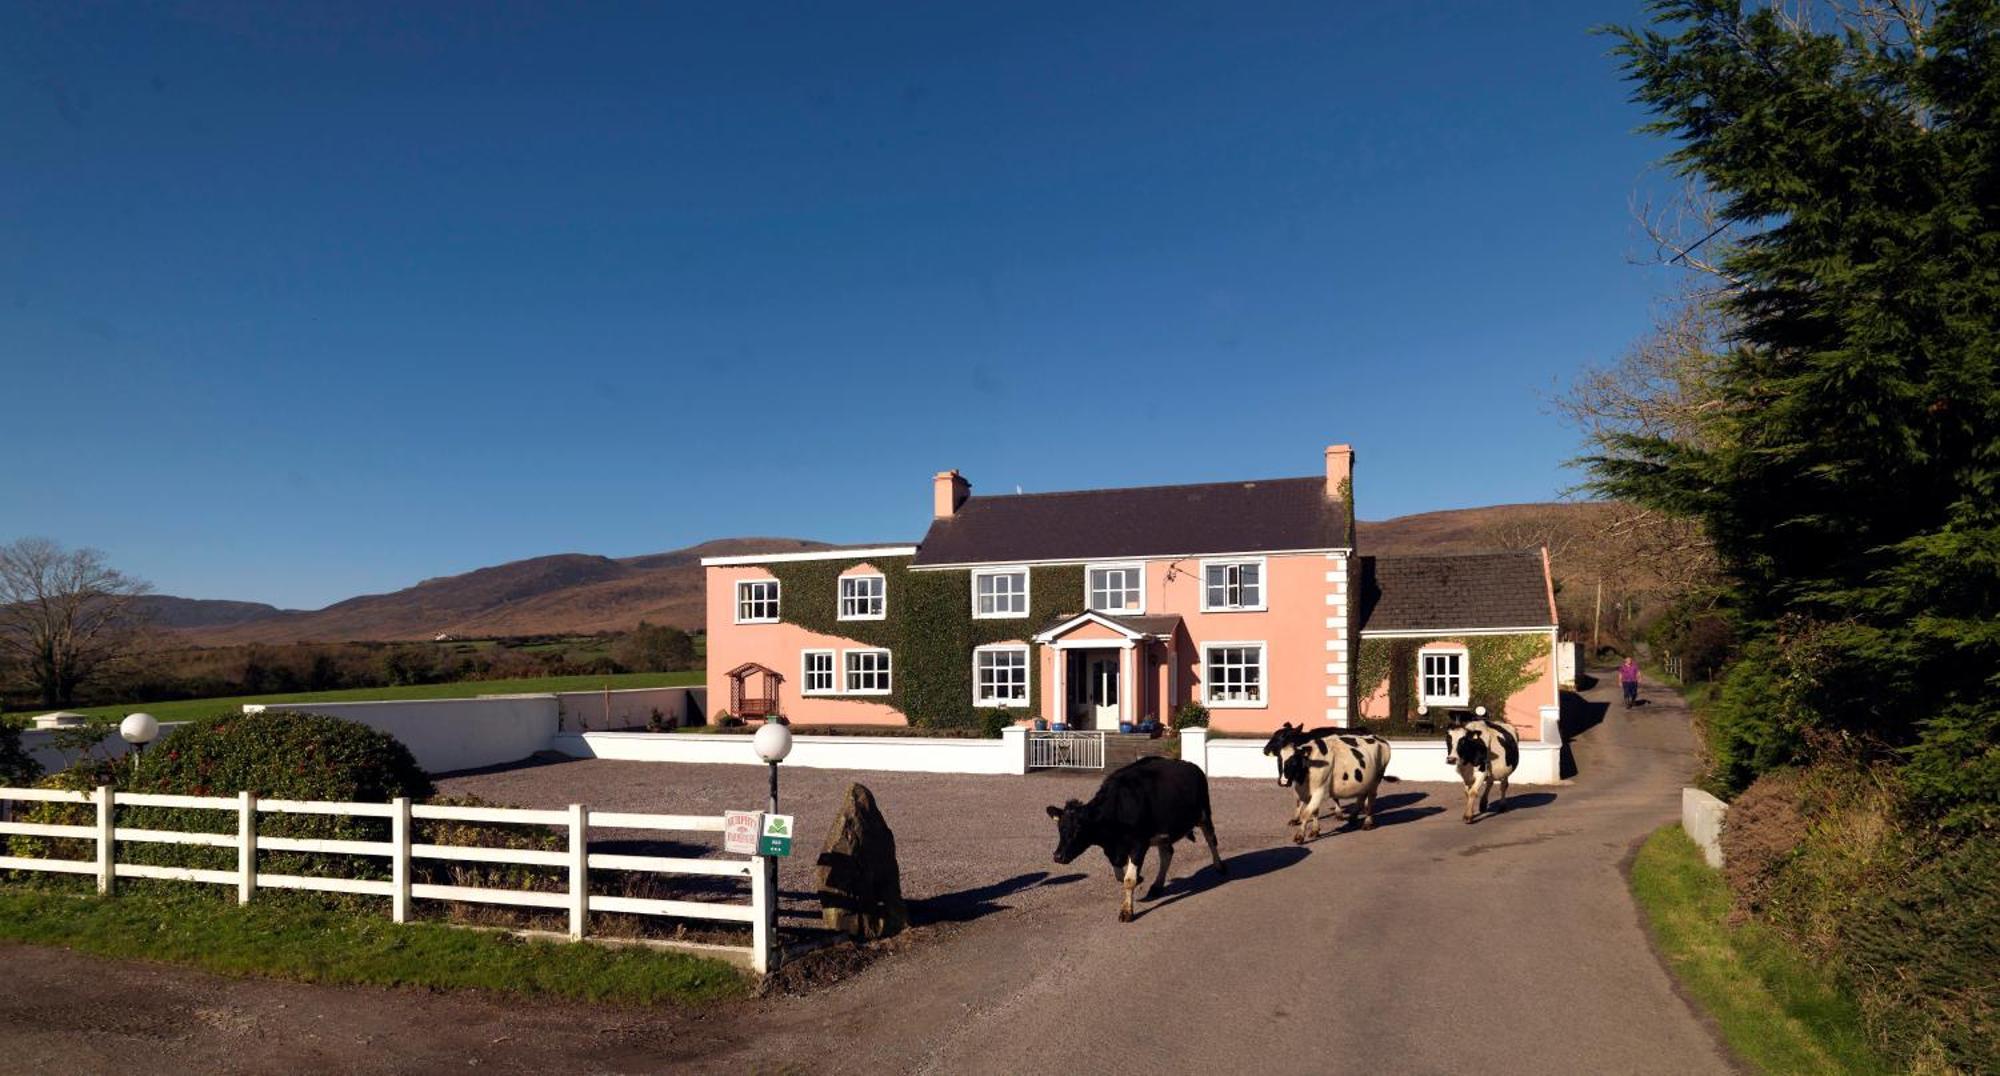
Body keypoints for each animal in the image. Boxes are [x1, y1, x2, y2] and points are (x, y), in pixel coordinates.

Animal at [1056, 748, 1224, 916]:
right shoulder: (1112, 849)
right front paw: (1140, 878)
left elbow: (1129, 880)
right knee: (1167, 853)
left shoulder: (1139, 844)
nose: (1057, 856)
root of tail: (1191, 766)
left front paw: (1127, 911)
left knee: (1211, 839)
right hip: (1164, 833)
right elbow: (1119, 875)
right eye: (1059, 828)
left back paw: (1219, 866)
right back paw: (1157, 886)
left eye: (1078, 829)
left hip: (1204, 813)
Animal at [1264, 720, 1392, 836]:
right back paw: (1354, 816)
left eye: (1282, 737)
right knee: (1362, 796)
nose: (1265, 750)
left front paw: (1338, 814)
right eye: (1279, 761)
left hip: (1374, 779)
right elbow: (1300, 802)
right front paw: (1296, 819)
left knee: (1370, 798)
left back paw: (1367, 821)